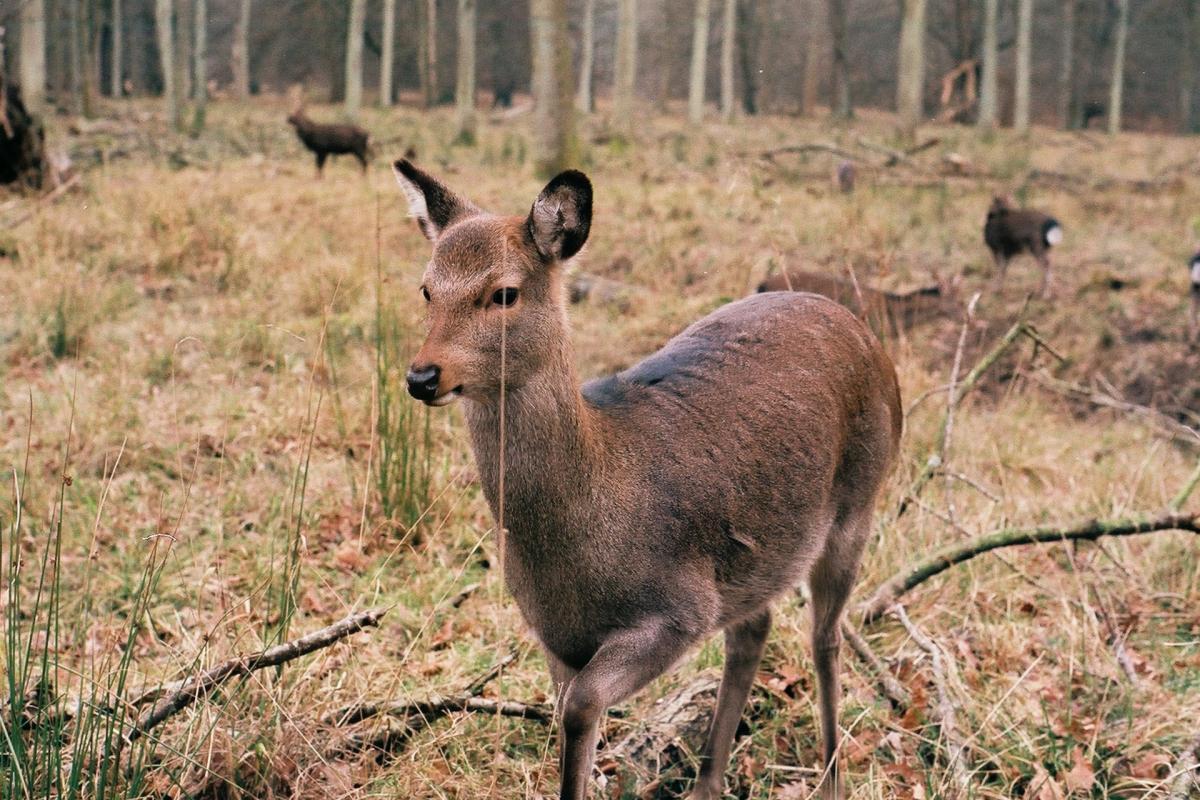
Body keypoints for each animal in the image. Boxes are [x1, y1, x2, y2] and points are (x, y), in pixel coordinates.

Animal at [393, 160, 902, 800]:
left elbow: (582, 707)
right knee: (754, 625)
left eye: (504, 292)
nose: (422, 376)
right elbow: (568, 721)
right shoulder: (554, 637)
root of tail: (866, 334)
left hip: (860, 501)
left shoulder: (680, 608)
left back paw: (831, 777)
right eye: (426, 288)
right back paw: (708, 782)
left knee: (825, 637)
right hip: (756, 558)